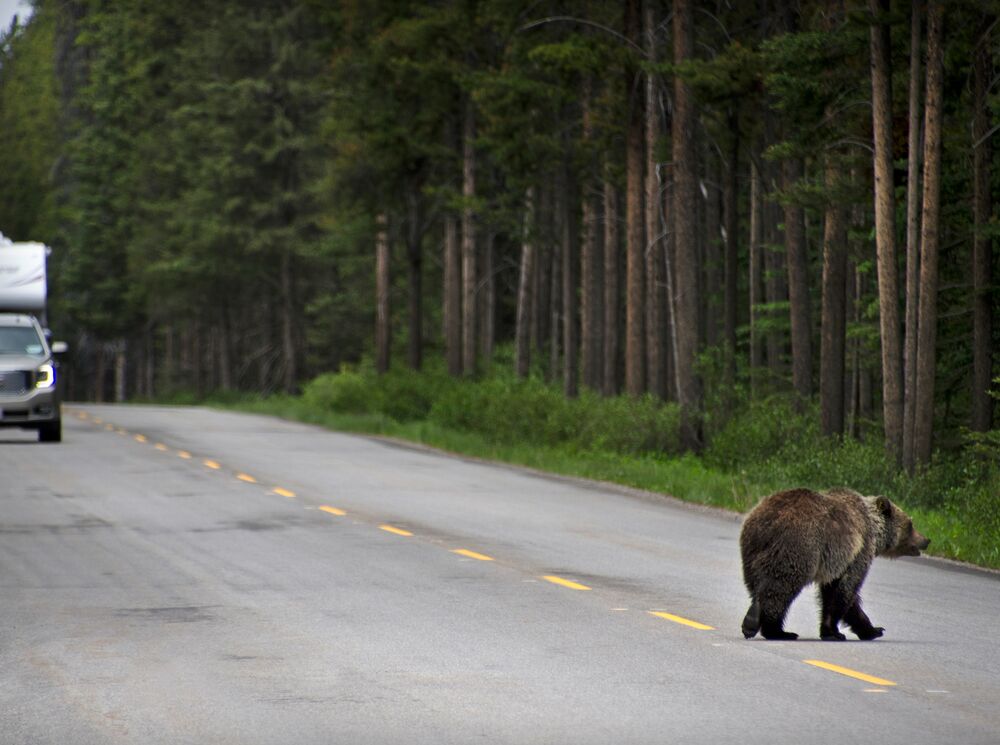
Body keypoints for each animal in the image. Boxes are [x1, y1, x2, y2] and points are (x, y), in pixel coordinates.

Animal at [739, 487, 930, 641]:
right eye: (911, 524)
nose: (926, 540)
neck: (874, 531)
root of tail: (767, 522)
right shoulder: (858, 551)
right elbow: (845, 591)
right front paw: (838, 632)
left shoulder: (837, 562)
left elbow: (838, 593)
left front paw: (872, 629)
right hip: (799, 546)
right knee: (782, 586)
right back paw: (775, 630)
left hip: (752, 549)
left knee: (759, 584)